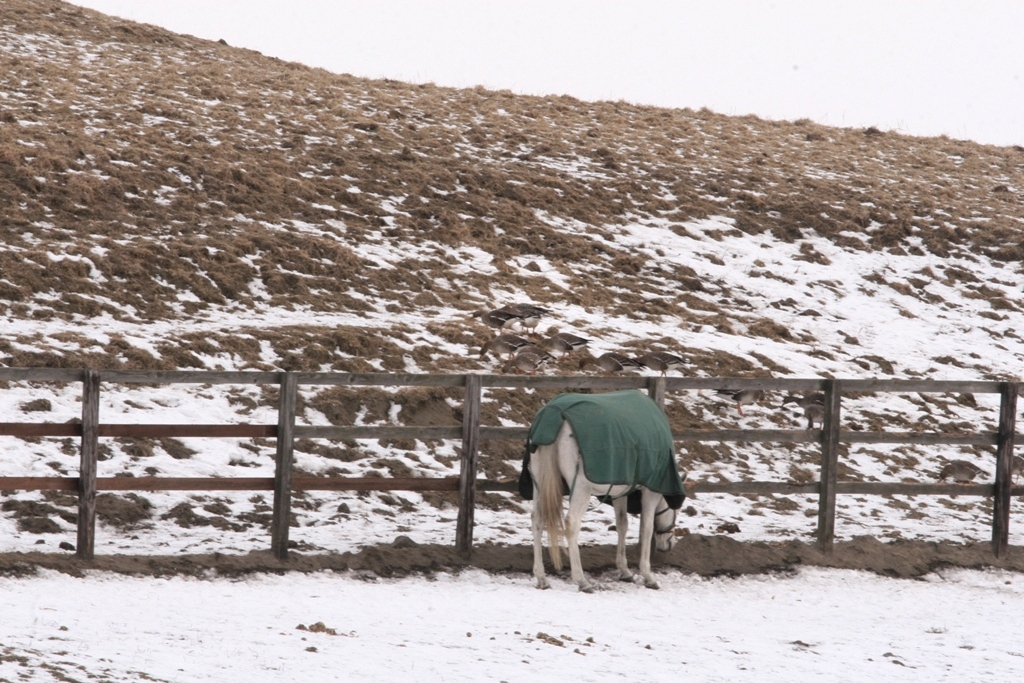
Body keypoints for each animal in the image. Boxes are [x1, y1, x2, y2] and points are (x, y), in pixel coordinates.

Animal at [524, 390, 686, 593]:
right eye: (676, 510)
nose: (669, 545)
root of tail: (554, 414)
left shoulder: (620, 491)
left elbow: (622, 524)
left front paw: (624, 571)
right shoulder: (651, 491)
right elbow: (647, 528)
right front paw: (648, 576)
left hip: (539, 482)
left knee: (536, 519)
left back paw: (541, 577)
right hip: (581, 489)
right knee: (571, 523)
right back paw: (582, 580)